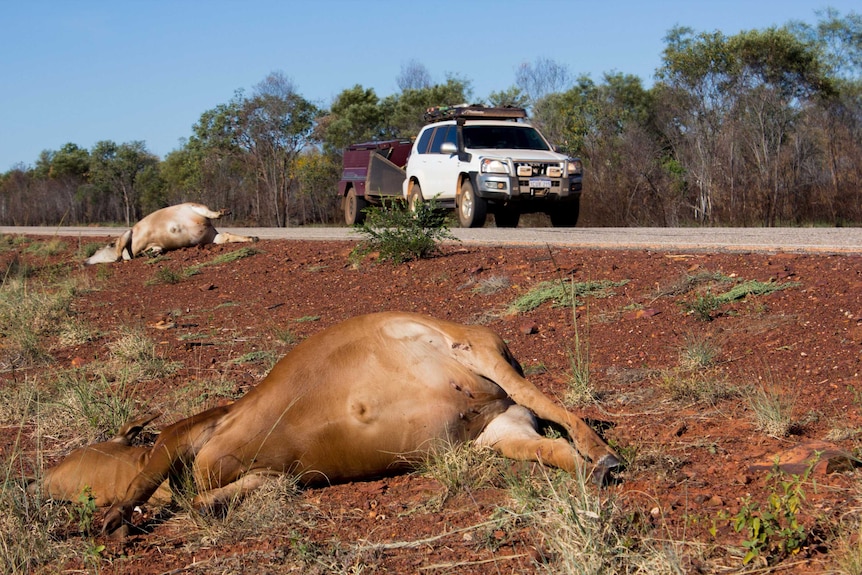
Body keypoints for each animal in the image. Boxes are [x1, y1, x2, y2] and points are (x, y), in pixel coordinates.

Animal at [32, 312, 620, 536]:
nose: (42, 483)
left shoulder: (187, 432)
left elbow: (145, 484)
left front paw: (108, 521)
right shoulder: (270, 477)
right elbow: (202, 504)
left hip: (477, 350)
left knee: (562, 413)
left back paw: (605, 455)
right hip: (499, 432)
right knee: (553, 447)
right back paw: (595, 471)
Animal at [84, 202, 260, 266]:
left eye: (97, 250)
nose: (84, 261)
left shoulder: (129, 233)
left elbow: (121, 247)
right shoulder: (152, 245)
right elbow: (153, 249)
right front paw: (151, 253)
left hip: (193, 206)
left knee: (212, 214)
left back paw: (223, 212)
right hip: (211, 235)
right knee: (227, 236)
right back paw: (252, 237)